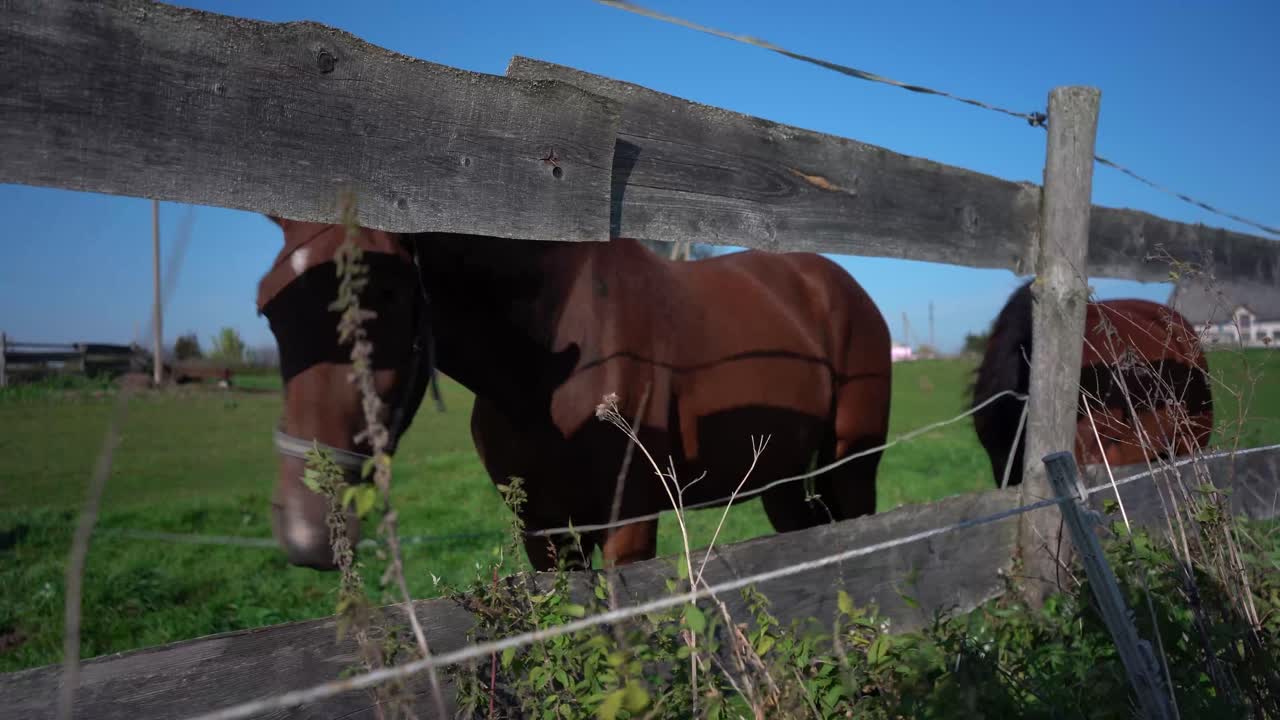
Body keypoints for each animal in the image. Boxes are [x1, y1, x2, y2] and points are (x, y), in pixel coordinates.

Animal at [255, 216, 894, 572]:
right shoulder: (541, 529)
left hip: (852, 465)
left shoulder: (628, 522)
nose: (308, 530)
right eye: (267, 309)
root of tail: (841, 285)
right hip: (779, 479)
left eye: (385, 294)